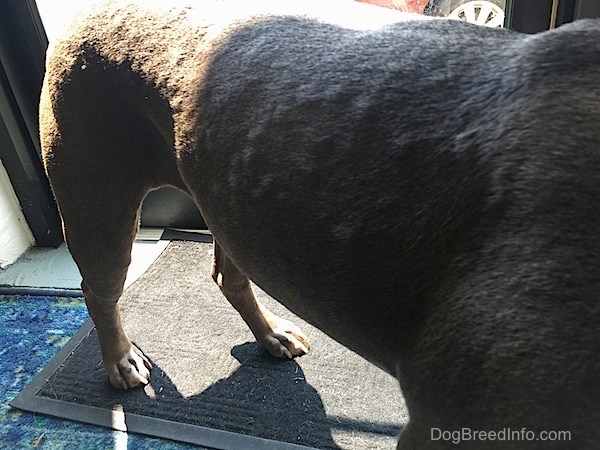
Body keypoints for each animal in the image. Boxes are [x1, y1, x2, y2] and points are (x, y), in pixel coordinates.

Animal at [39, 1, 596, 448]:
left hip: (231, 199)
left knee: (228, 275)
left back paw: (271, 334)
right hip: (99, 203)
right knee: (101, 290)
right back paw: (120, 359)